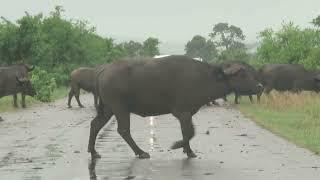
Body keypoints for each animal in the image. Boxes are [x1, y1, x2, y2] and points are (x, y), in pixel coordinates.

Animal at [87, 55, 262, 159]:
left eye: (250, 72)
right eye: (242, 74)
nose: (259, 86)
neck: (204, 77)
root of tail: (104, 70)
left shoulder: (186, 115)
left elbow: (186, 132)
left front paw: (188, 150)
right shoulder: (182, 112)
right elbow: (190, 132)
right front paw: (179, 146)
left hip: (108, 109)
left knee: (95, 124)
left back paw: (94, 152)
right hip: (120, 108)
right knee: (123, 130)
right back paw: (141, 152)